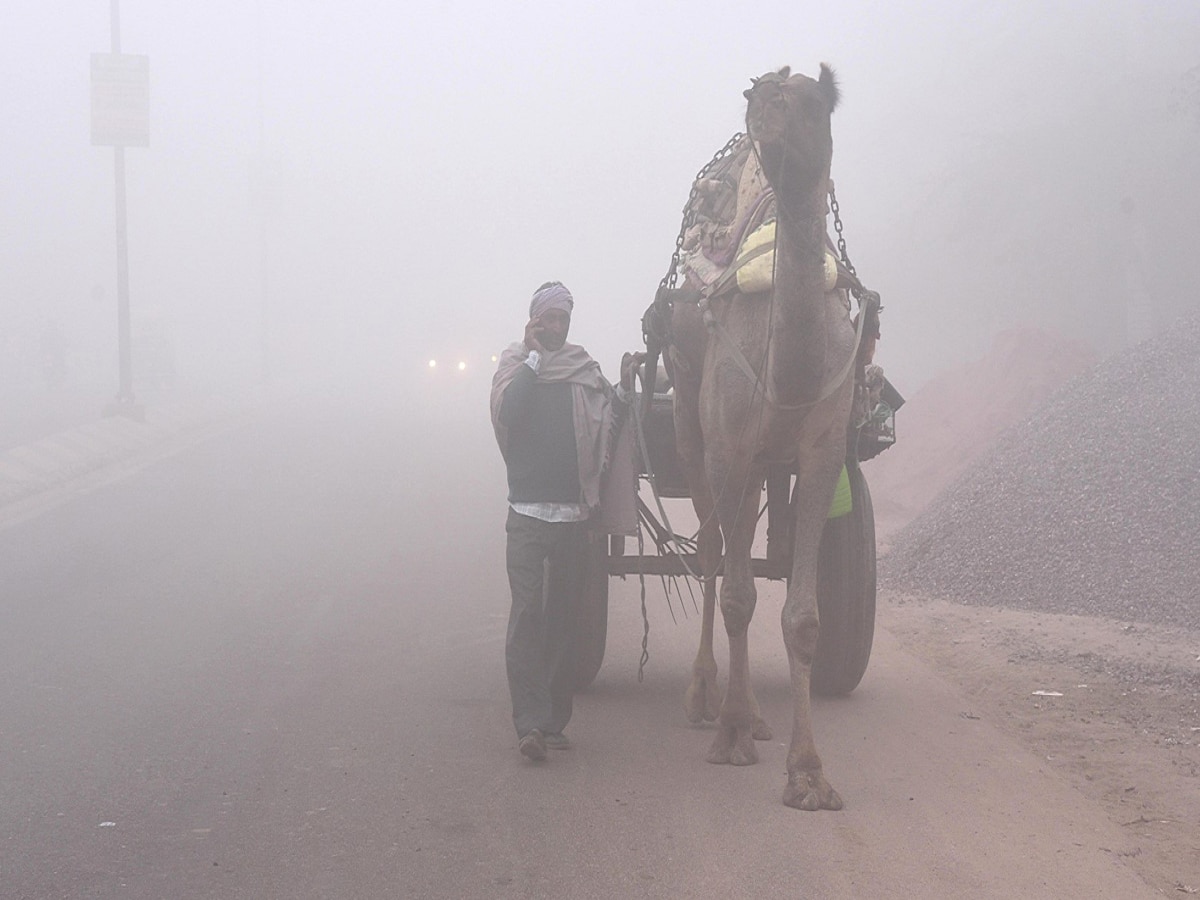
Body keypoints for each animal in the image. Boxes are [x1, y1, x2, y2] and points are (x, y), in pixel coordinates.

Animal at [662, 63, 859, 811]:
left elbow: (801, 616)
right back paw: (711, 702)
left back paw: (757, 717)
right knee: (715, 552)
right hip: (693, 426)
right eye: (760, 97)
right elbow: (738, 591)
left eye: (812, 103)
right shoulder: (727, 444)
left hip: (761, 460)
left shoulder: (822, 447)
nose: (761, 118)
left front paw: (808, 773)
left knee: (740, 534)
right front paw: (728, 738)